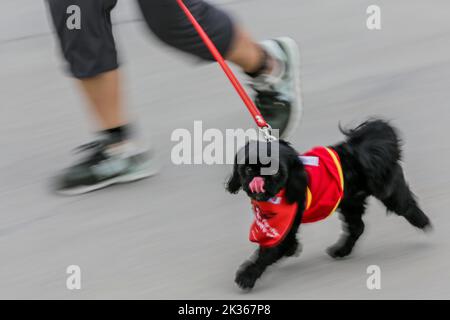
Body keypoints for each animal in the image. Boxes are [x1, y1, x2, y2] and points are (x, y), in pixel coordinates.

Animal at [227, 119, 430, 290]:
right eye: (248, 169)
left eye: (276, 172)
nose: (259, 180)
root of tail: (364, 149)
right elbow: (283, 245)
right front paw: (292, 249)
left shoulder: (282, 225)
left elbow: (267, 253)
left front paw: (247, 275)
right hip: (350, 203)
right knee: (357, 227)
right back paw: (342, 250)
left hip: (388, 193)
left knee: (406, 205)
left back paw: (422, 221)